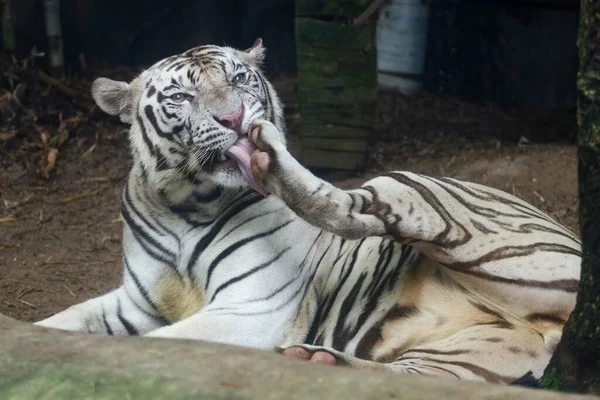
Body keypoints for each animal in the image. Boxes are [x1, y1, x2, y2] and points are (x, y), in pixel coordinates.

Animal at [34, 41, 580, 384]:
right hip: (465, 359)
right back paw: (318, 363)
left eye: (239, 79)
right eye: (182, 96)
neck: (184, 204)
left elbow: (162, 343)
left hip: (421, 186)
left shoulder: (249, 308)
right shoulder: (136, 304)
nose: (234, 118)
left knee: (349, 204)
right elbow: (64, 321)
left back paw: (271, 155)